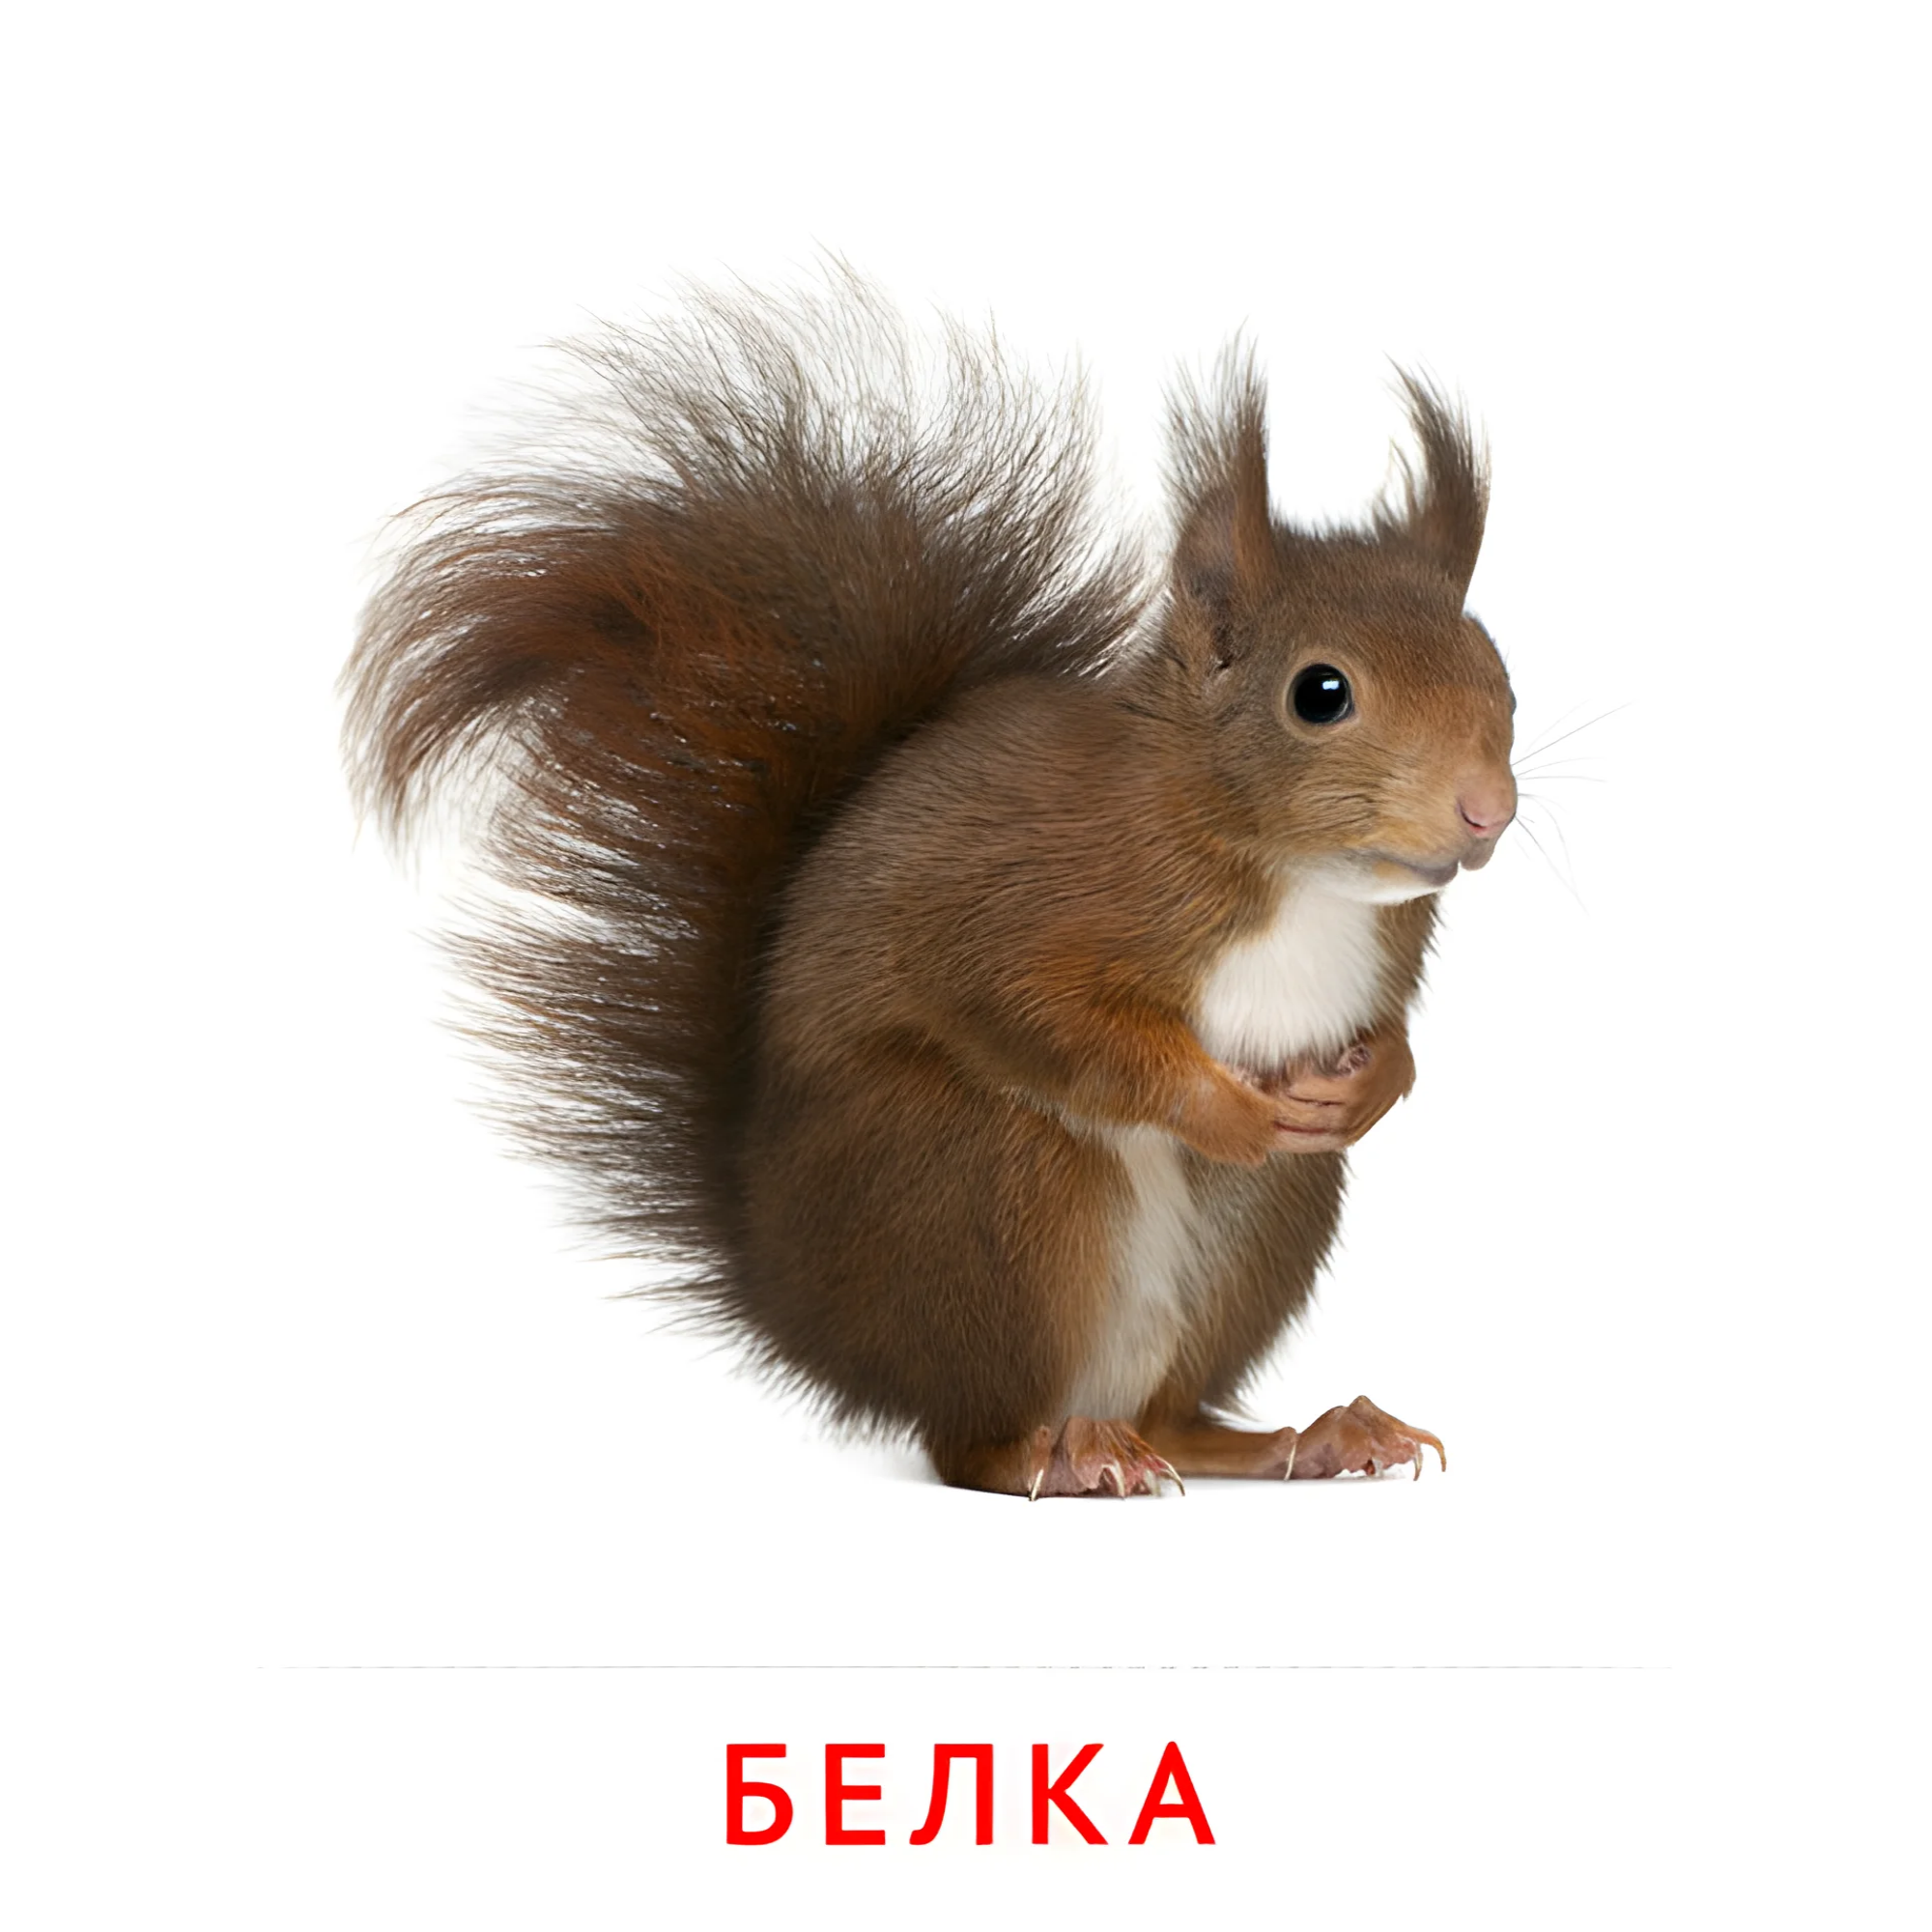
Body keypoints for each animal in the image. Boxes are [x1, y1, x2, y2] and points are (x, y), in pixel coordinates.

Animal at [345, 273, 1516, 1499]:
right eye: (1318, 692)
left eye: (1499, 673)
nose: (1486, 808)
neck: (1290, 871)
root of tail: (810, 1311)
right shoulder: (1031, 898)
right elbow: (1033, 1008)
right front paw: (1222, 1108)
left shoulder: (1385, 949)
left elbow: (1387, 1034)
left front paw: (1369, 1085)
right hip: (984, 1180)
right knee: (969, 1439)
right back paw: (1058, 1455)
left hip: (1264, 1214)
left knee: (1177, 1408)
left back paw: (1306, 1436)